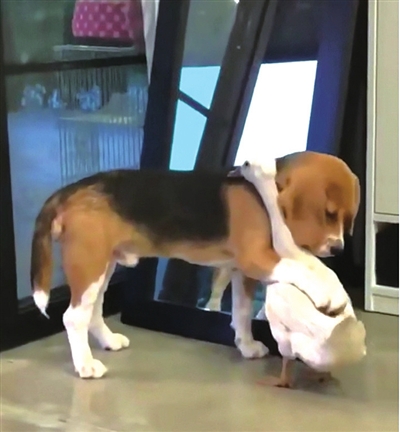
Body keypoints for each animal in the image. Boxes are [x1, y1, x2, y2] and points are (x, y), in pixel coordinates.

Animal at [30, 151, 360, 378]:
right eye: (329, 214)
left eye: (346, 217)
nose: (339, 248)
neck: (262, 196)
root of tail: (70, 190)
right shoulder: (256, 259)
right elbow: (298, 269)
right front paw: (326, 293)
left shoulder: (241, 271)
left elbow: (241, 312)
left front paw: (247, 345)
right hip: (90, 265)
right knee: (74, 318)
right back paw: (86, 366)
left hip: (103, 267)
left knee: (94, 311)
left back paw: (108, 341)